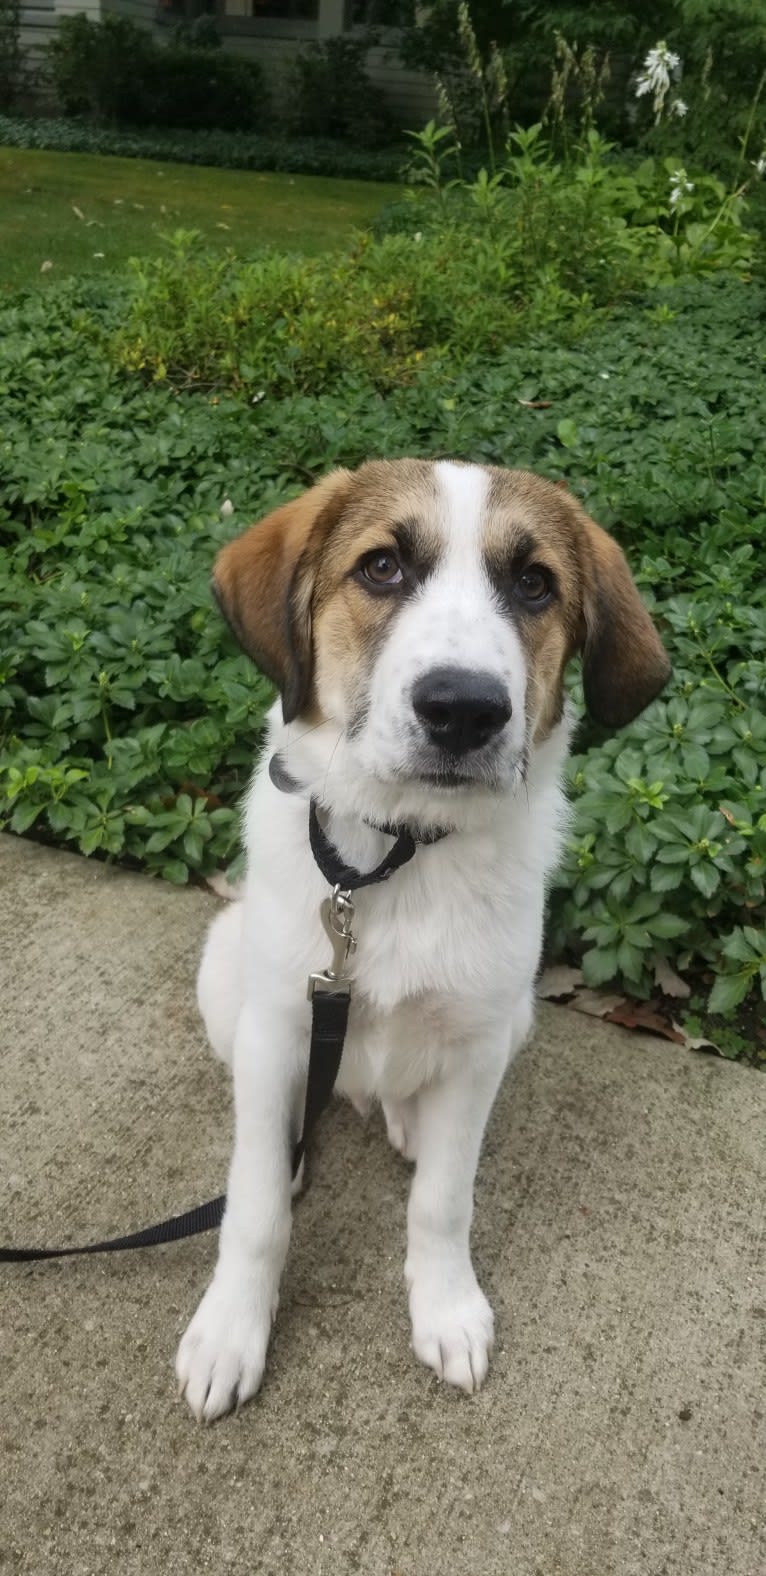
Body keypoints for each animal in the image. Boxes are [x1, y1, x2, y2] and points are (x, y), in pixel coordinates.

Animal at [176, 453, 668, 1418]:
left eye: (534, 583)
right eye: (381, 567)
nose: (464, 710)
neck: (397, 858)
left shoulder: (479, 1046)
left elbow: (443, 1201)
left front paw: (446, 1310)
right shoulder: (280, 1021)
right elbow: (254, 1210)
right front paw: (230, 1329)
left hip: (515, 1016)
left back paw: (403, 1119)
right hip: (227, 974)